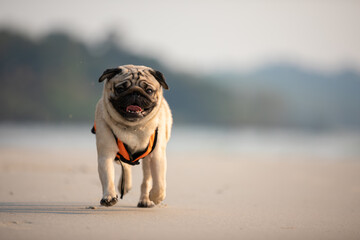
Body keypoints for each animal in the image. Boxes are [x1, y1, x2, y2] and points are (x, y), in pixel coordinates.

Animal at [93, 64, 172, 207]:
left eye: (149, 91)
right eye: (120, 89)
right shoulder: (106, 154)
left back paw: (145, 199)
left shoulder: (157, 156)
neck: (133, 128)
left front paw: (156, 196)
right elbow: (108, 177)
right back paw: (125, 185)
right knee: (126, 166)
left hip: (147, 162)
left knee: (146, 180)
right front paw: (109, 196)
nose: (135, 92)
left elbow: (159, 182)